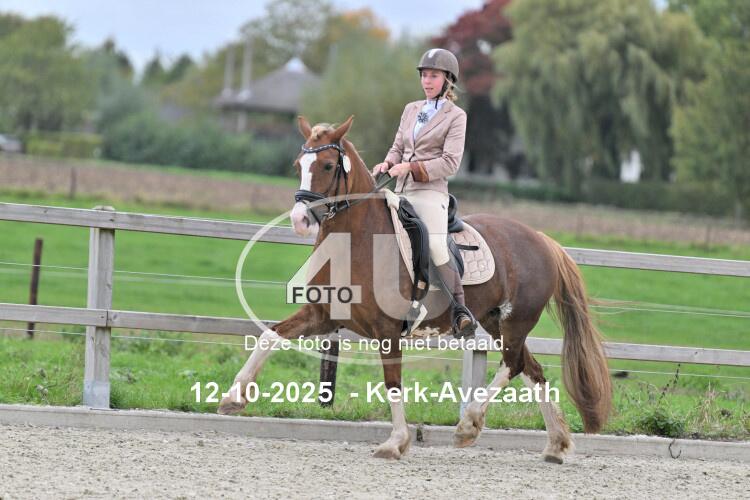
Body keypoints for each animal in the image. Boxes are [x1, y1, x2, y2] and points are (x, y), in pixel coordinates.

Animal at [218, 115, 612, 463]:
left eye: (329, 165)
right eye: (299, 163)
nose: (300, 220)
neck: (357, 242)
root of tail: (543, 240)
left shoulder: (387, 329)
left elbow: (392, 382)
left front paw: (396, 442)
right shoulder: (323, 315)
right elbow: (270, 336)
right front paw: (234, 397)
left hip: (515, 322)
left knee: (513, 365)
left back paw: (469, 425)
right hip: (497, 322)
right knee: (532, 370)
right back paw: (555, 445)